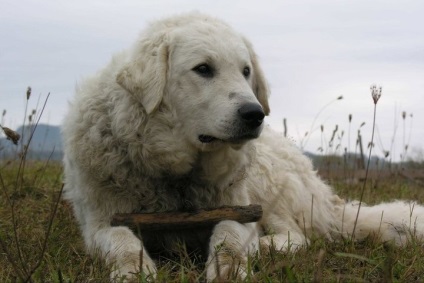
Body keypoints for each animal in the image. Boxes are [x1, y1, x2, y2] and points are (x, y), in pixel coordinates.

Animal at [61, 11, 422, 282]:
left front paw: (230, 268)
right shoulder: (100, 222)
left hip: (268, 187)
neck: (177, 176)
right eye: (203, 69)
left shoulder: (238, 210)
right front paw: (134, 271)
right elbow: (122, 241)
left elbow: (228, 238)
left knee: (296, 237)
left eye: (245, 71)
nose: (254, 114)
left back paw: (266, 246)